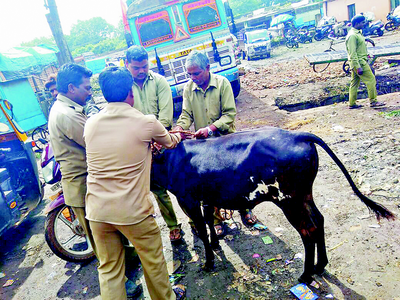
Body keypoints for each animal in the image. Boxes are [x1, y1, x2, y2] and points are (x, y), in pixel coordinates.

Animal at [152, 126, 396, 284]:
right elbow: (211, 222)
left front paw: (208, 262)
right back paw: (320, 266)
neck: (168, 158)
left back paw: (306, 275)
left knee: (308, 230)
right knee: (319, 220)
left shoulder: (187, 199)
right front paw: (215, 244)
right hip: (303, 195)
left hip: (289, 201)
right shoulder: (208, 198)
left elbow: (202, 229)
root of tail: (297, 135)